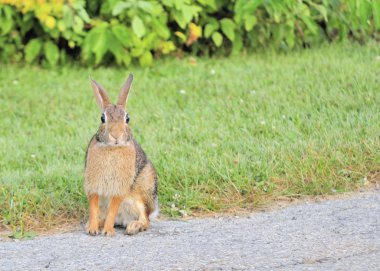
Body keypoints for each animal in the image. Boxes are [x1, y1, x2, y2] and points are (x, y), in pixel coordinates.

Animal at [84, 73, 158, 237]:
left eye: (127, 118)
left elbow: (113, 207)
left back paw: (133, 227)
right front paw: (92, 229)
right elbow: (93, 206)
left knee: (145, 219)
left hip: (141, 196)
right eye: (102, 118)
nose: (116, 135)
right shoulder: (94, 184)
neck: (112, 148)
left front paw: (107, 232)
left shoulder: (119, 187)